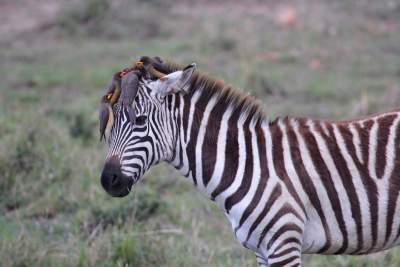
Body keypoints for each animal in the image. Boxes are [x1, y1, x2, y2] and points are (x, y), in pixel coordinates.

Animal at [98, 56, 400, 266]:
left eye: (140, 121)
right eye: (109, 125)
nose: (108, 181)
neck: (249, 163)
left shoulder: (284, 243)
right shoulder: (261, 250)